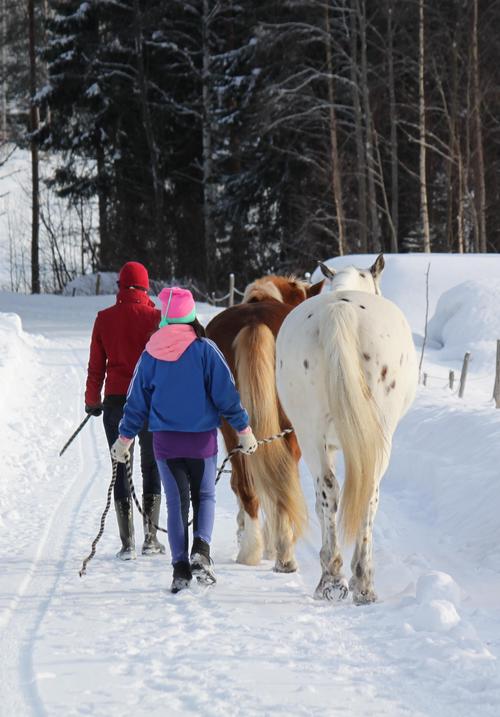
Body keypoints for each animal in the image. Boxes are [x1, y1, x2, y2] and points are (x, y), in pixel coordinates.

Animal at [204, 274, 324, 572]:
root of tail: (253, 322)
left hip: (231, 428)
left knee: (247, 486)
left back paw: (251, 551)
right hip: (289, 429)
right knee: (278, 485)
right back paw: (280, 553)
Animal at [276, 255, 416, 600]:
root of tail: (339, 312)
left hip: (310, 434)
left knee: (329, 489)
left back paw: (332, 578)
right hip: (377, 436)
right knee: (367, 493)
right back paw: (360, 581)